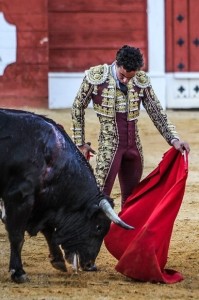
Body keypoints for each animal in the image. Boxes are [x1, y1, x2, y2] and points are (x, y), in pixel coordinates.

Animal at [0, 108, 134, 284]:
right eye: (98, 227)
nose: (89, 264)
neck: (52, 157)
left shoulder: (43, 204)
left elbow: (48, 229)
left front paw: (58, 260)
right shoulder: (19, 196)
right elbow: (17, 235)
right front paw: (18, 272)